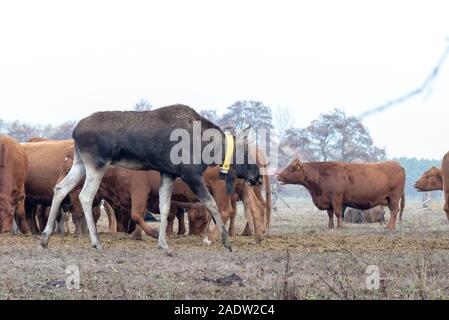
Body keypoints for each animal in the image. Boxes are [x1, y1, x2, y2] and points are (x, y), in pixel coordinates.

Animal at [42, 105, 260, 252]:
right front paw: (226, 242)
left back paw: (45, 237)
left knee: (60, 188)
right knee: (85, 196)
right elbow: (212, 203)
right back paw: (96, 242)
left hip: (80, 163)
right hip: (96, 163)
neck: (209, 149)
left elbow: (165, 208)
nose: (257, 176)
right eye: (246, 152)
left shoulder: (168, 173)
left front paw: (163, 244)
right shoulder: (191, 174)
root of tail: (74, 131)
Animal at [276, 159, 406, 230]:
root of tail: (397, 165)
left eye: (291, 168)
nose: (277, 175)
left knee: (394, 211)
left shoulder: (336, 198)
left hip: (394, 197)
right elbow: (330, 214)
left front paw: (340, 226)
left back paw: (390, 227)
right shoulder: (328, 201)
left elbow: (338, 213)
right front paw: (330, 226)